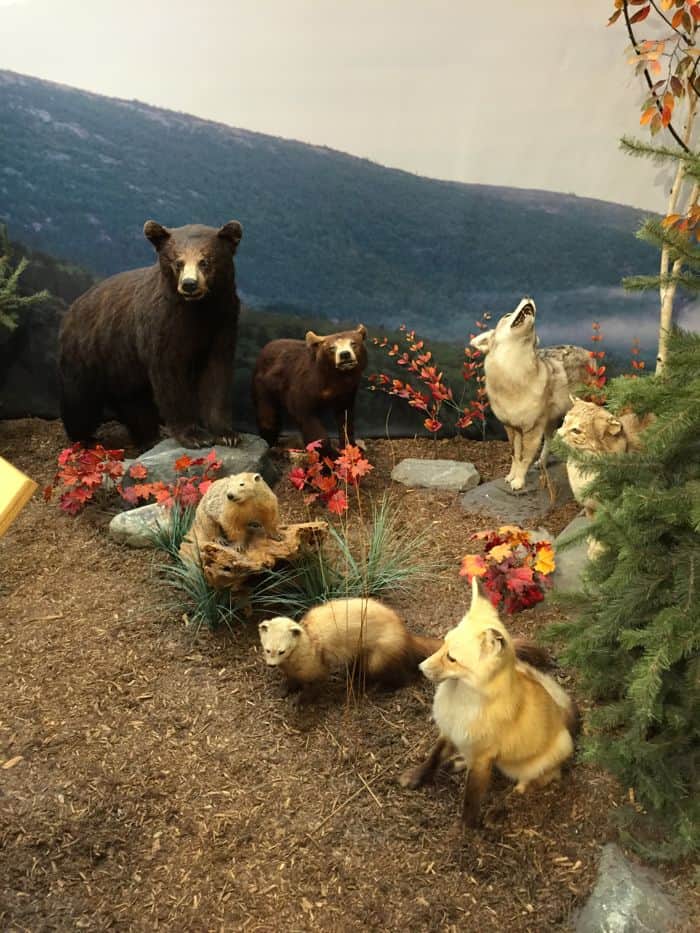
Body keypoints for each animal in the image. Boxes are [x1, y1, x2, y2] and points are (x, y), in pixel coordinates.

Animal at [58, 220, 243, 450]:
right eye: (178, 262)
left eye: (205, 261)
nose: (189, 284)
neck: (196, 309)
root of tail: (71, 310)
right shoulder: (161, 325)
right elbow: (169, 375)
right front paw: (194, 435)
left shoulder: (223, 322)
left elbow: (217, 373)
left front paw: (227, 434)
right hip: (88, 352)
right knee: (80, 401)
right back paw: (85, 438)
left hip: (122, 362)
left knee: (133, 401)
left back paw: (148, 436)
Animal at [254, 324, 370, 456]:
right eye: (332, 348)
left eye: (353, 343)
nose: (345, 355)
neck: (334, 378)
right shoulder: (305, 386)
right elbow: (307, 418)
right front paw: (331, 454)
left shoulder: (346, 392)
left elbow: (345, 419)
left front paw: (353, 448)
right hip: (264, 386)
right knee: (268, 418)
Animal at [400, 576, 580, 832]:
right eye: (442, 644)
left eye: (452, 658)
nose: (420, 667)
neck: (458, 705)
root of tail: (564, 718)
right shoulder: (450, 732)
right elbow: (433, 758)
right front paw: (417, 776)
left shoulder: (484, 758)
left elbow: (472, 798)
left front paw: (465, 830)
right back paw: (457, 762)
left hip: (538, 763)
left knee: (522, 789)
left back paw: (498, 811)